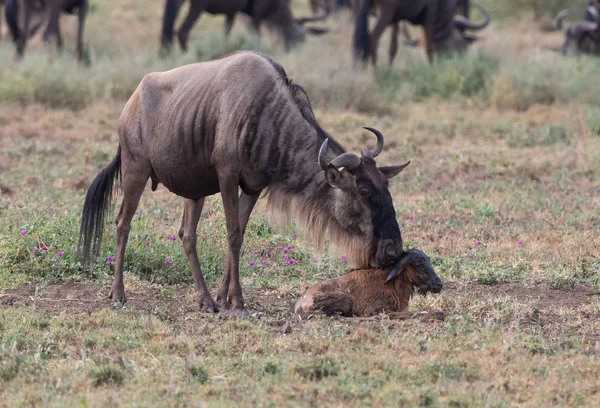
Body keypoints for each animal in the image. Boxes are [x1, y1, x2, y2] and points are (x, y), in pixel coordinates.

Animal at [294, 249, 440, 318]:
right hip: (346, 299)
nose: (439, 284)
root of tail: (300, 303)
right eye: (418, 264)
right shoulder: (373, 309)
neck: (391, 285)